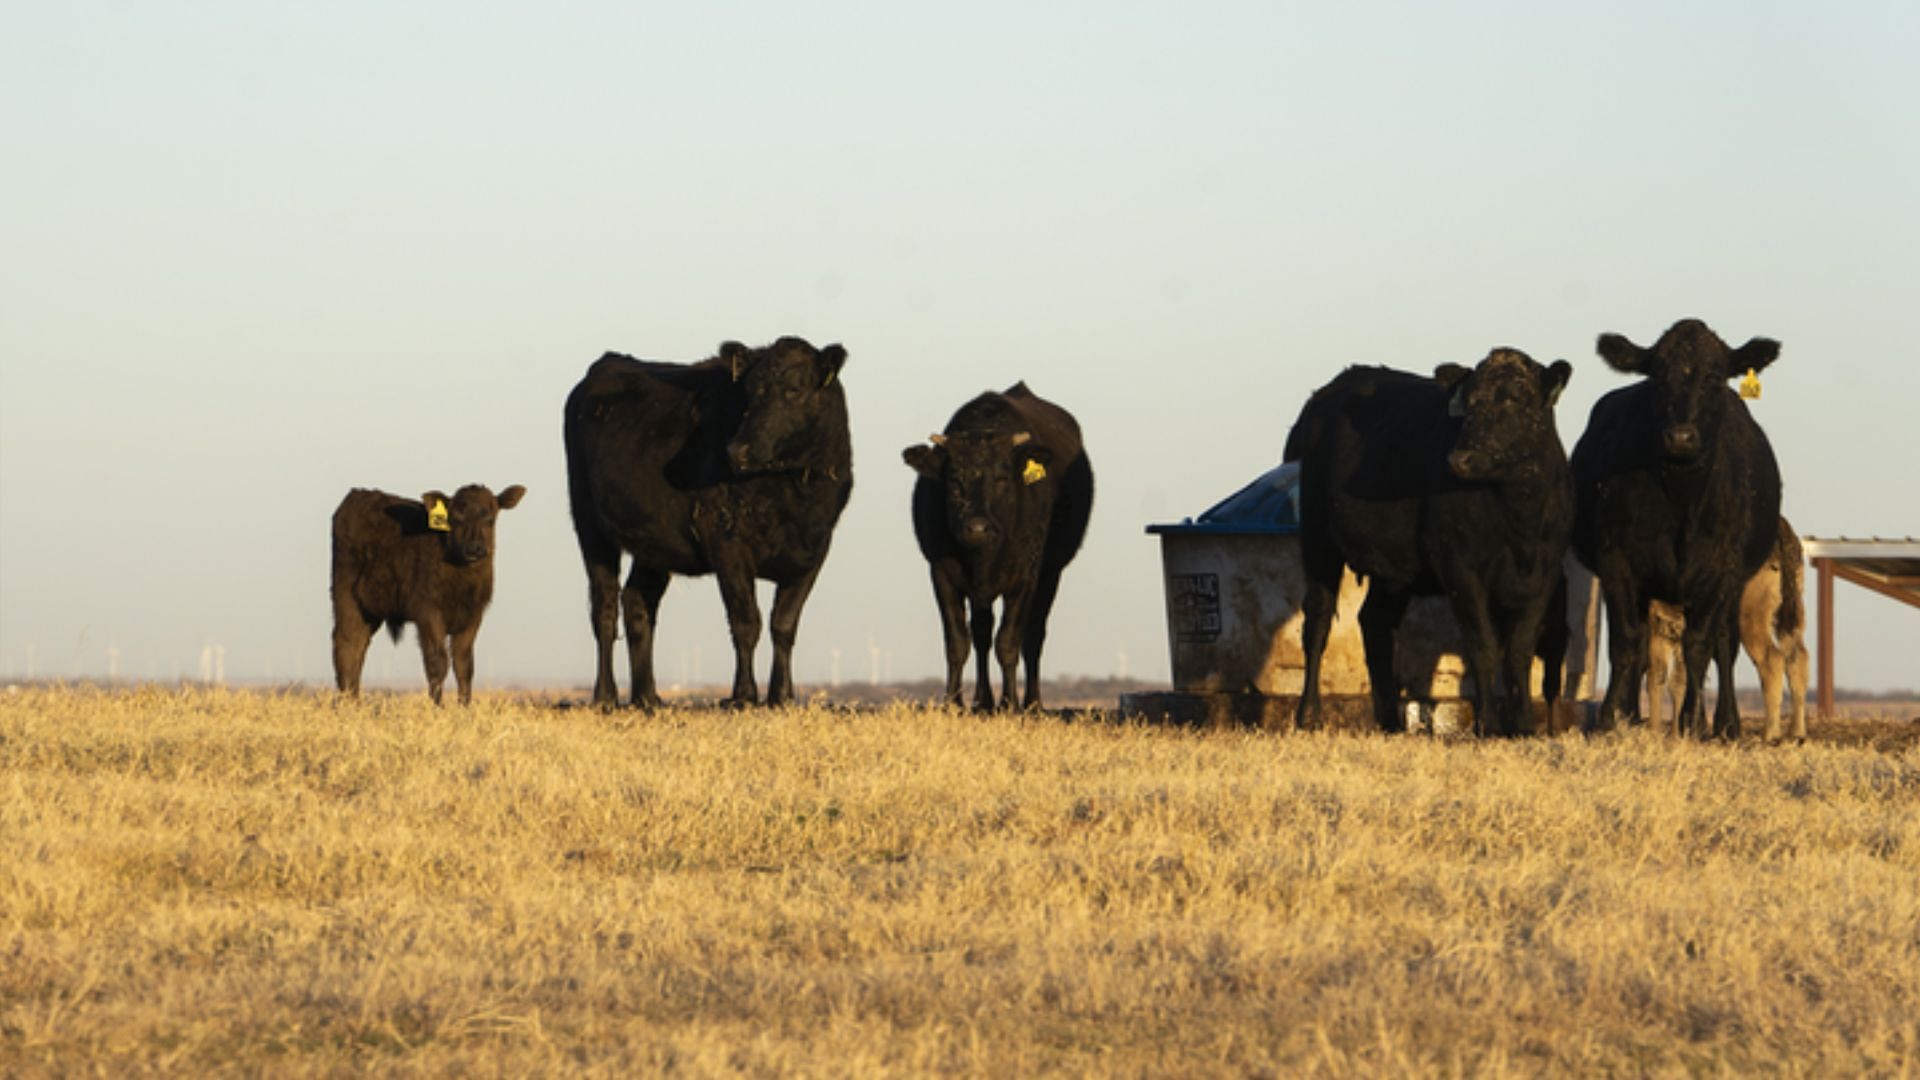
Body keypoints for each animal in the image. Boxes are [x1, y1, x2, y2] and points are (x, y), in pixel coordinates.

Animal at [330, 480, 526, 703]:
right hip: (345, 597)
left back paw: (353, 700)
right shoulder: (428, 611)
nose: (474, 548)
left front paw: (464, 707)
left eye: (490, 518)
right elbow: (437, 662)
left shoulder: (474, 614)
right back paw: (345, 702)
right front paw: (437, 707)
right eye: (455, 519)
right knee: (346, 645)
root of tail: (357, 495)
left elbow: (464, 664)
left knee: (359, 647)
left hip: (370, 610)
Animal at [560, 336, 852, 707]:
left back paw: (647, 697)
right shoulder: (726, 542)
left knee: (637, 602)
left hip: (653, 542)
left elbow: (783, 625)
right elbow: (747, 621)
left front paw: (782, 696)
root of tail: (609, 362)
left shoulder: (815, 549)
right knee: (605, 608)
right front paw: (743, 695)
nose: (739, 449)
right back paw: (606, 696)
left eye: (794, 389)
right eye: (750, 391)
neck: (796, 497)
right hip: (590, 525)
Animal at [902, 382, 1090, 711]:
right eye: (954, 481)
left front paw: (1010, 704)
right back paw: (982, 700)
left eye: (1003, 479)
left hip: (1050, 574)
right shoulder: (942, 573)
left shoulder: (1025, 576)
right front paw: (953, 703)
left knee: (1033, 636)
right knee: (981, 633)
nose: (978, 527)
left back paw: (1032, 704)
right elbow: (958, 641)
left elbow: (1009, 641)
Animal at [1290, 349, 1574, 734]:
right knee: (1317, 621)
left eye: (1517, 396)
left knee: (1375, 622)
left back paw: (1389, 722)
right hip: (1318, 539)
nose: (1460, 458)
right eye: (1468, 402)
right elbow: (1483, 645)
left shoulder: (1545, 574)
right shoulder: (1460, 569)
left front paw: (1524, 726)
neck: (1520, 518)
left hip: (1393, 572)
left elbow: (1519, 651)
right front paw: (1488, 725)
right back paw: (1309, 715)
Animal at [1574, 315, 1781, 734]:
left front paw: (1692, 722)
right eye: (1656, 375)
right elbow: (1626, 644)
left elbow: (1699, 645)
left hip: (1736, 584)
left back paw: (1727, 724)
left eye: (1715, 376)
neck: (1681, 503)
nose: (1681, 436)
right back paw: (1633, 716)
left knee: (1725, 643)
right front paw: (1611, 718)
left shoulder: (1720, 570)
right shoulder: (1617, 563)